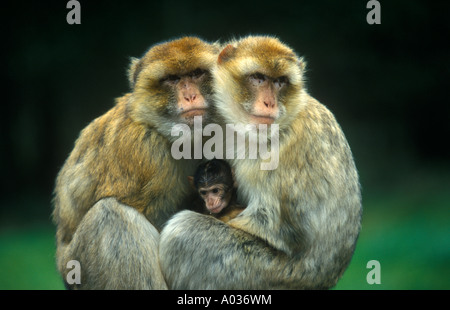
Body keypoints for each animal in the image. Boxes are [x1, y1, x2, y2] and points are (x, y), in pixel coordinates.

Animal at [51, 37, 221, 290]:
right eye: (172, 79)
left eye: (197, 73)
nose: (190, 96)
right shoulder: (146, 154)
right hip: (78, 266)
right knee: (110, 215)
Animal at [158, 36, 362, 290]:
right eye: (258, 78)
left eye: (280, 82)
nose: (269, 103)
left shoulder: (285, 150)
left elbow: (279, 229)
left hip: (267, 275)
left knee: (182, 231)